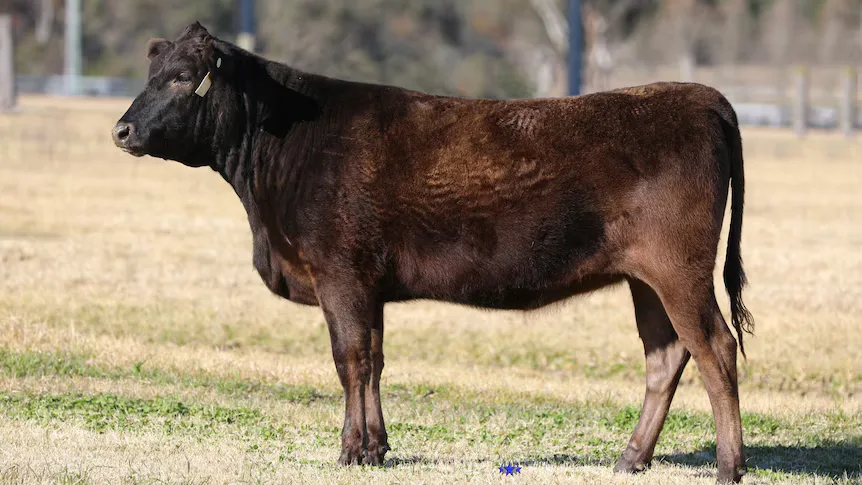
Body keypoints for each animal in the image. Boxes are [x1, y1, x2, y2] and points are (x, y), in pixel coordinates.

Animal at [111, 22, 754, 484]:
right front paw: (375, 448)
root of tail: (702, 97)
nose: (121, 131)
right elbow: (373, 360)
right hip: (644, 279)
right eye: (151, 71)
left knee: (715, 349)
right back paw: (630, 458)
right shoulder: (367, 285)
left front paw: (350, 450)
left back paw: (729, 467)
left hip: (678, 269)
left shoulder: (340, 273)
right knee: (666, 356)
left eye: (183, 76)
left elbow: (349, 359)